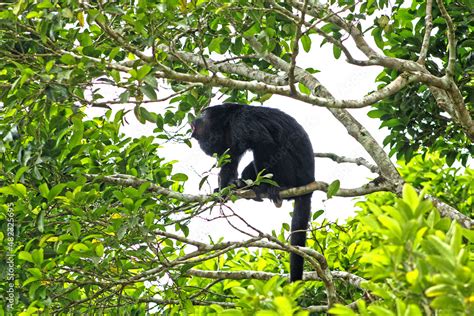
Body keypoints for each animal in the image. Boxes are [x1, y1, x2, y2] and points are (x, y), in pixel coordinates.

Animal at [189, 102, 314, 282]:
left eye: (203, 113)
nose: (195, 118)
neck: (228, 121)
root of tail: (309, 181)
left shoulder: (243, 121)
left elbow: (263, 143)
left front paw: (262, 187)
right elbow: (230, 158)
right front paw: (223, 190)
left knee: (274, 149)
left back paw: (276, 187)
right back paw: (241, 185)